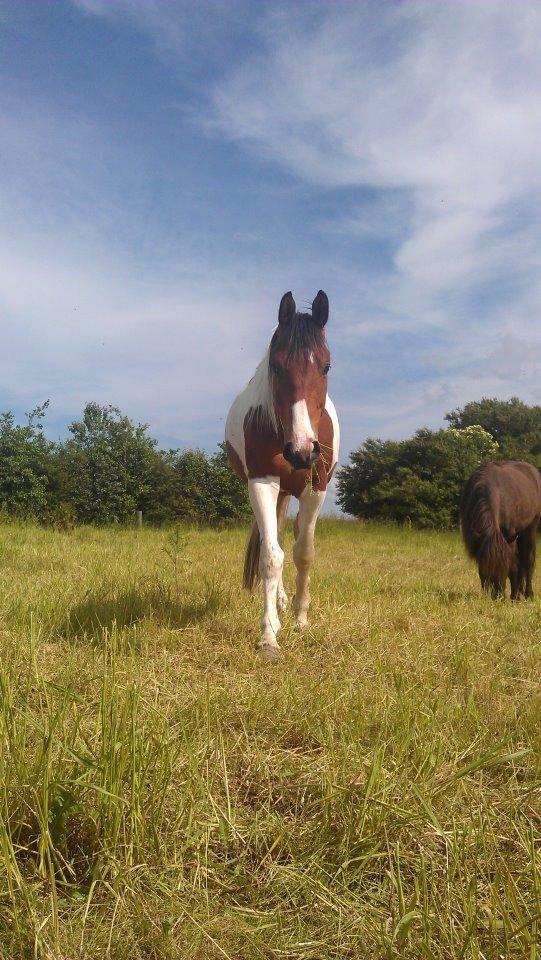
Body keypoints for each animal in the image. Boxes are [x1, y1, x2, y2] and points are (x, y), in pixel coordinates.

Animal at [226, 288, 340, 656]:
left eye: (326, 365)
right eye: (276, 365)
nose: (302, 451)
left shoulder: (316, 487)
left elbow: (304, 553)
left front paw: (301, 619)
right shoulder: (263, 483)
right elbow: (271, 557)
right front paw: (268, 634)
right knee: (273, 540)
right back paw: (277, 603)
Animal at [460, 460, 540, 596]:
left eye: (504, 568)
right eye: (486, 567)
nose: (498, 596)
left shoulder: (510, 535)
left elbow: (514, 567)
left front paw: (514, 596)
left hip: (531, 527)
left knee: (528, 560)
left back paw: (528, 594)